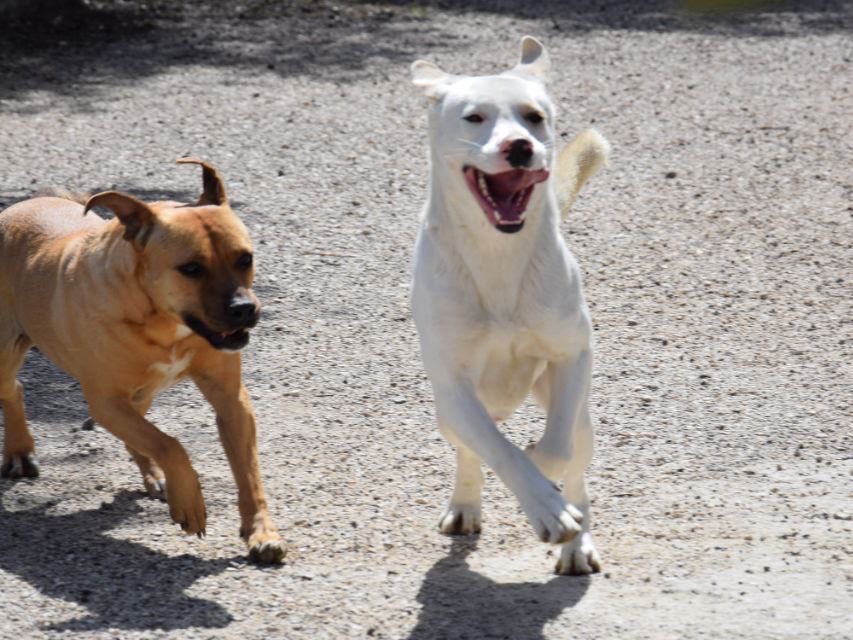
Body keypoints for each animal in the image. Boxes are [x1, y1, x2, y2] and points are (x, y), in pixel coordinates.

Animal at [0, 160, 286, 564]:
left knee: (139, 429)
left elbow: (248, 474)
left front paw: (261, 532)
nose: (244, 308)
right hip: (5, 355)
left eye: (245, 258)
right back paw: (19, 451)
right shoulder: (105, 401)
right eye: (191, 268)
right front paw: (190, 502)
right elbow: (170, 444)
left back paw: (151, 473)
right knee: (14, 388)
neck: (163, 322)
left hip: (143, 394)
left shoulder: (231, 400)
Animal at [410, 36, 608, 576]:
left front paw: (550, 488)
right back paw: (465, 504)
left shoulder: (571, 356)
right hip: (448, 411)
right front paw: (543, 504)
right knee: (469, 449)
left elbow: (555, 451)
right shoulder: (453, 386)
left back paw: (577, 541)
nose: (519, 146)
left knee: (577, 461)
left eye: (534, 116)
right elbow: (498, 451)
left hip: (577, 411)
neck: (497, 253)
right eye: (474, 117)